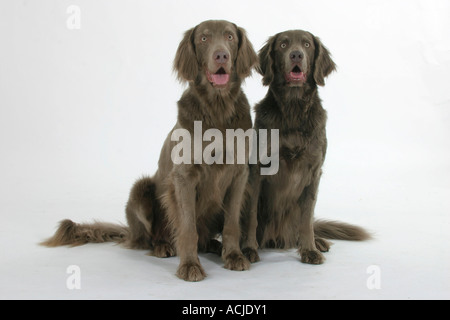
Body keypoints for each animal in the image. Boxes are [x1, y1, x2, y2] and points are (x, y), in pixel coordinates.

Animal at [43, 19, 260, 282]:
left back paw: (213, 246)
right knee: (152, 237)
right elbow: (187, 227)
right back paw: (163, 247)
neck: (218, 109)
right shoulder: (184, 176)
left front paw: (234, 256)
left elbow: (231, 224)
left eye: (229, 37)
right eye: (204, 39)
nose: (221, 55)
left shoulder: (239, 174)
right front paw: (190, 265)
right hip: (141, 190)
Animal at [241, 30, 370, 264]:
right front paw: (248, 249)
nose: (296, 55)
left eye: (307, 44)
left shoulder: (313, 171)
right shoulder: (257, 169)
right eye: (283, 44)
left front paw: (310, 249)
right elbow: (251, 215)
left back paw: (318, 242)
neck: (293, 110)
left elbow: (307, 218)